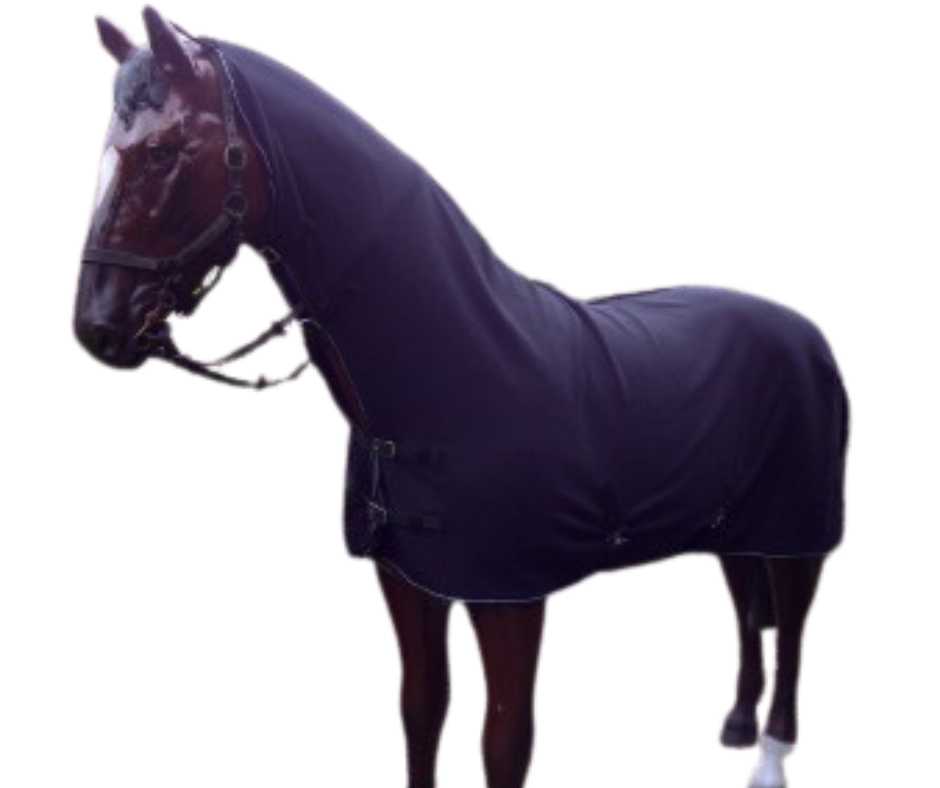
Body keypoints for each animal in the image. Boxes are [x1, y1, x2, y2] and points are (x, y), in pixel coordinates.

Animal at [73, 9, 849, 788]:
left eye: (165, 153)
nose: (96, 327)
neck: (455, 369)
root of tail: (803, 331)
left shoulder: (509, 595)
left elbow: (504, 743)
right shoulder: (408, 582)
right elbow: (422, 708)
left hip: (798, 526)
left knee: (793, 625)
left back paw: (771, 755)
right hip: (734, 523)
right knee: (746, 604)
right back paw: (738, 722)